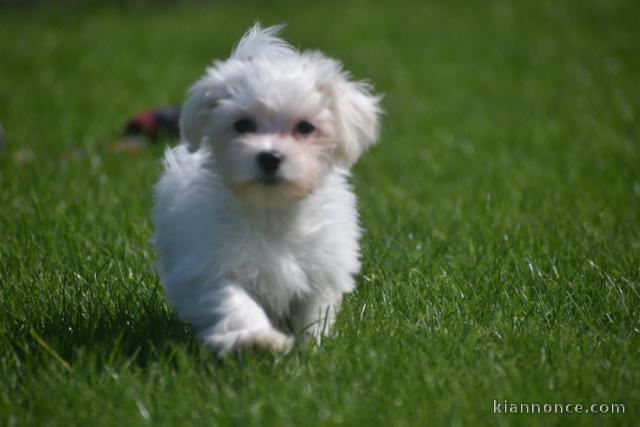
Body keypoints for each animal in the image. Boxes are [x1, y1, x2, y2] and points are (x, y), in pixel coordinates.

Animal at [152, 24, 382, 358]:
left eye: (305, 127)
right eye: (242, 125)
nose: (270, 157)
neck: (271, 209)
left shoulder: (321, 267)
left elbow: (312, 313)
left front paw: (310, 350)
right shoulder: (212, 262)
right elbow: (234, 301)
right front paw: (257, 341)